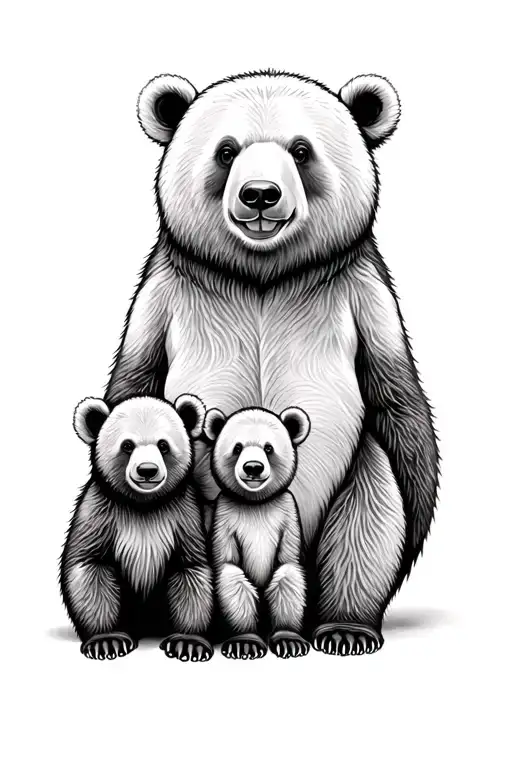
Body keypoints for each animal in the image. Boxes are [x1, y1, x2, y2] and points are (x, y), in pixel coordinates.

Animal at [60, 394, 214, 661]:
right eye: (127, 445)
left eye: (163, 445)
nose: (147, 471)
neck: (143, 503)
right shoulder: (101, 512)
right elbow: (89, 566)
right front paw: (107, 640)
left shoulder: (183, 516)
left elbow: (190, 570)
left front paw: (187, 643)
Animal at [204, 405, 311, 660]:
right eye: (237, 447)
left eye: (268, 448)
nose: (253, 467)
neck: (255, 503)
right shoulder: (226, 516)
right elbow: (230, 572)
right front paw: (245, 642)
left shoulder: (286, 513)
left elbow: (288, 571)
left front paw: (288, 639)